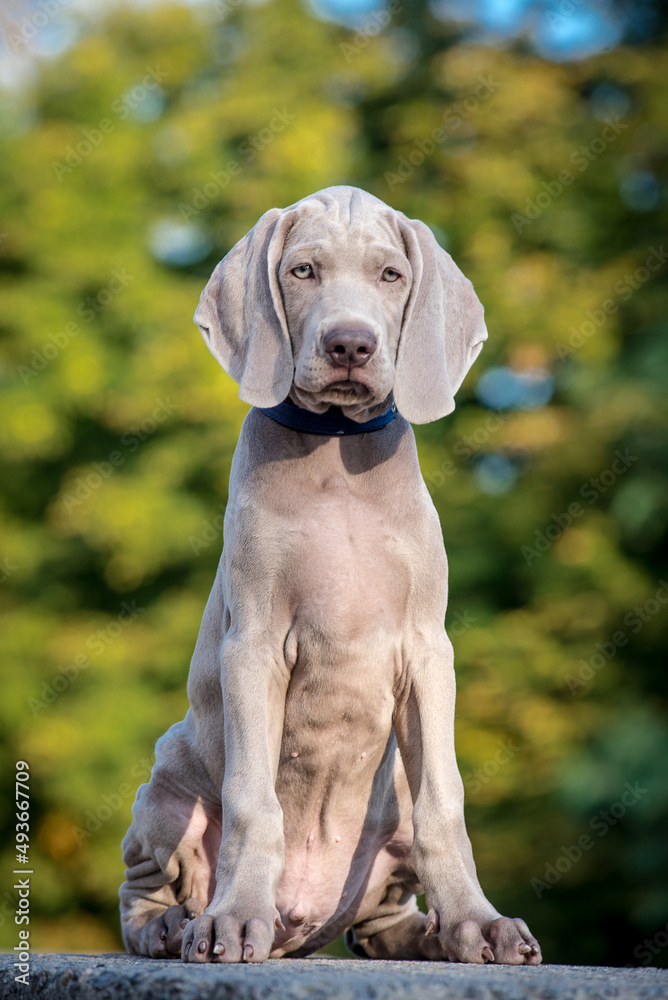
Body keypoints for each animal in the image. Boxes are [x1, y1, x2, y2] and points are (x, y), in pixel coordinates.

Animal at [117, 184, 540, 964]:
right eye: (303, 271)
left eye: (391, 275)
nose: (350, 344)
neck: (338, 448)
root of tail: (300, 924)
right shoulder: (252, 644)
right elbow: (254, 800)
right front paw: (231, 919)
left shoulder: (427, 649)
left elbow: (446, 802)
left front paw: (478, 921)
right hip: (165, 785)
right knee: (145, 888)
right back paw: (178, 924)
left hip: (389, 798)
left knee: (377, 924)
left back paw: (428, 933)